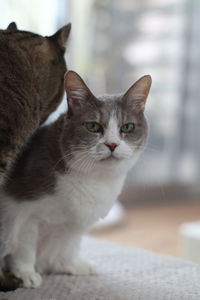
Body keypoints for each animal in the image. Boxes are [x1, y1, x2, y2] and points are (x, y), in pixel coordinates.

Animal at [0, 69, 151, 290]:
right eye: (93, 126)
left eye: (128, 127)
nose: (112, 144)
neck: (94, 178)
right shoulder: (21, 209)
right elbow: (24, 245)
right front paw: (26, 273)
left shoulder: (74, 223)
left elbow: (68, 245)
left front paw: (68, 264)